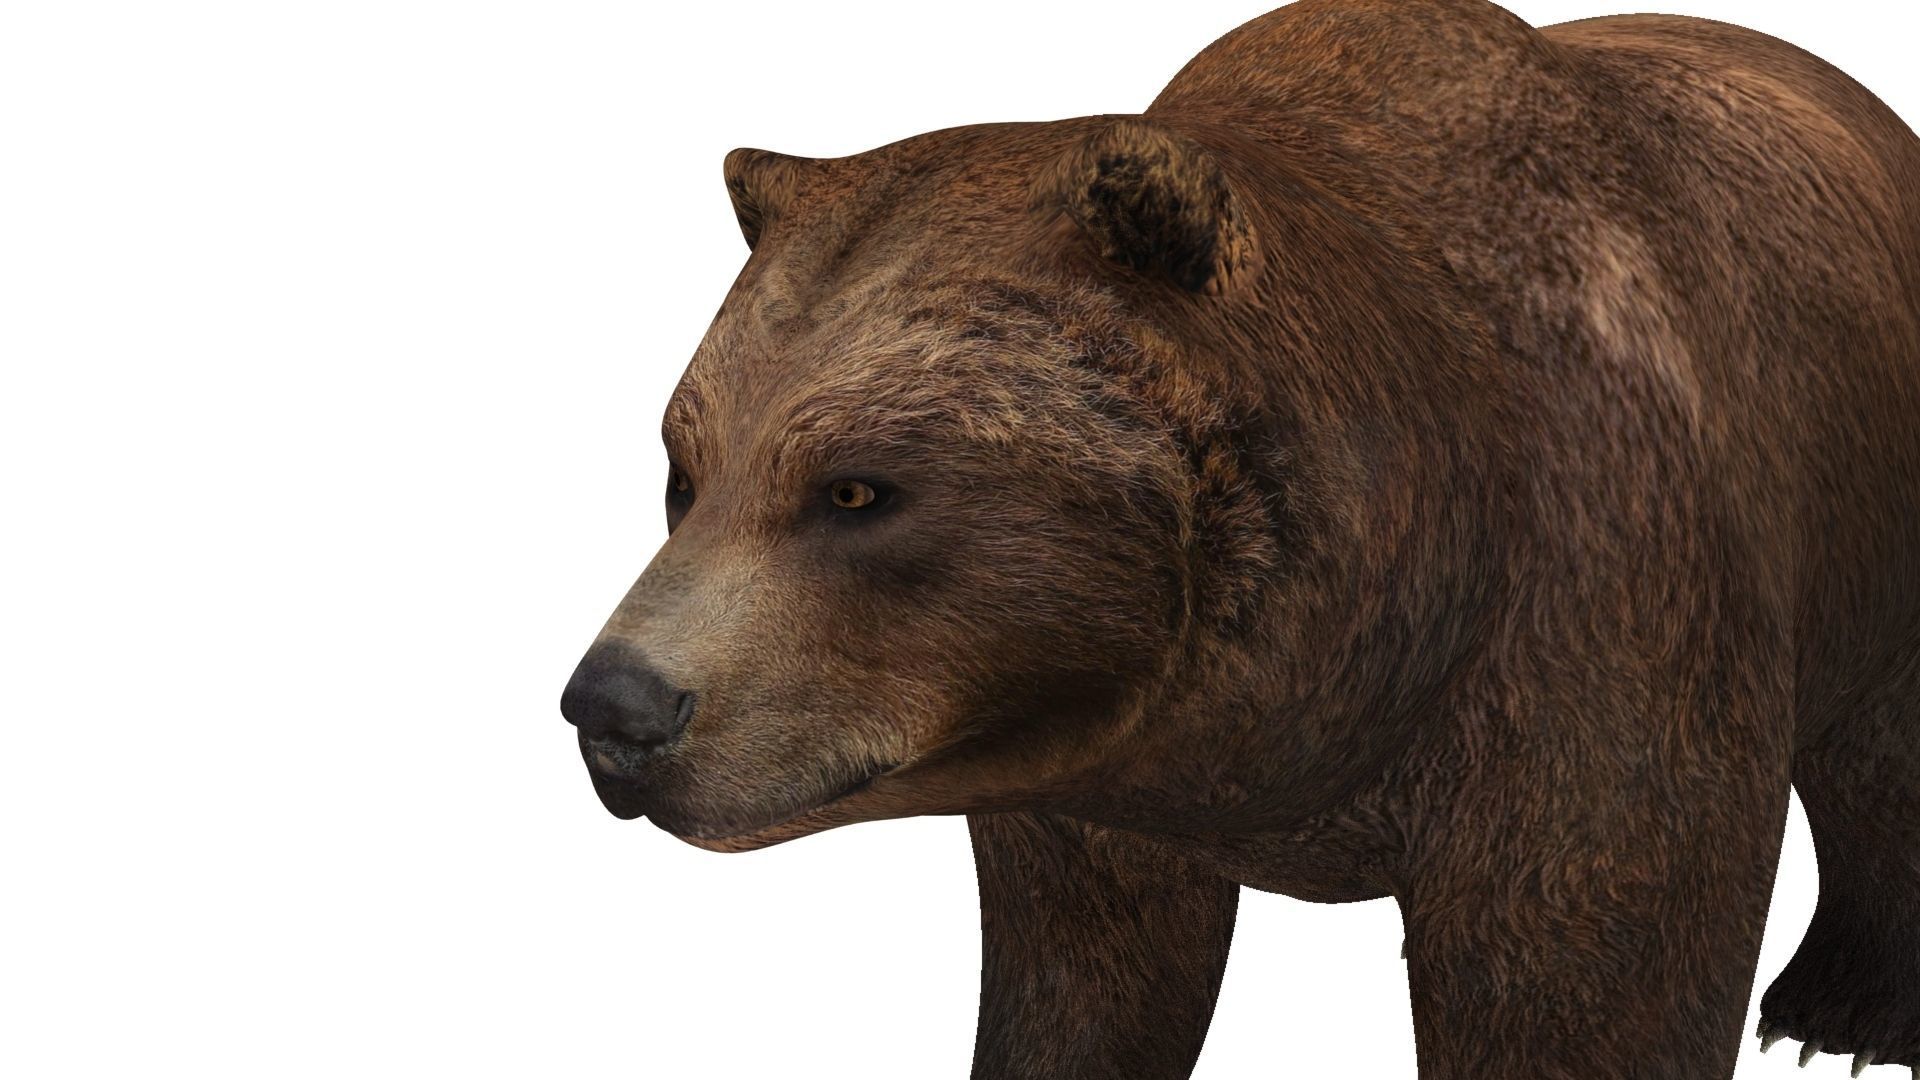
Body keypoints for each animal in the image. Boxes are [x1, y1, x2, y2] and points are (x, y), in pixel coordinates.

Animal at [558, 1, 1920, 1077]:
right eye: (685, 474)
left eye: (855, 490)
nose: (616, 707)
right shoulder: (1090, 769)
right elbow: (1091, 970)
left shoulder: (1595, 595)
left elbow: (1586, 955)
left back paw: (1842, 1013)